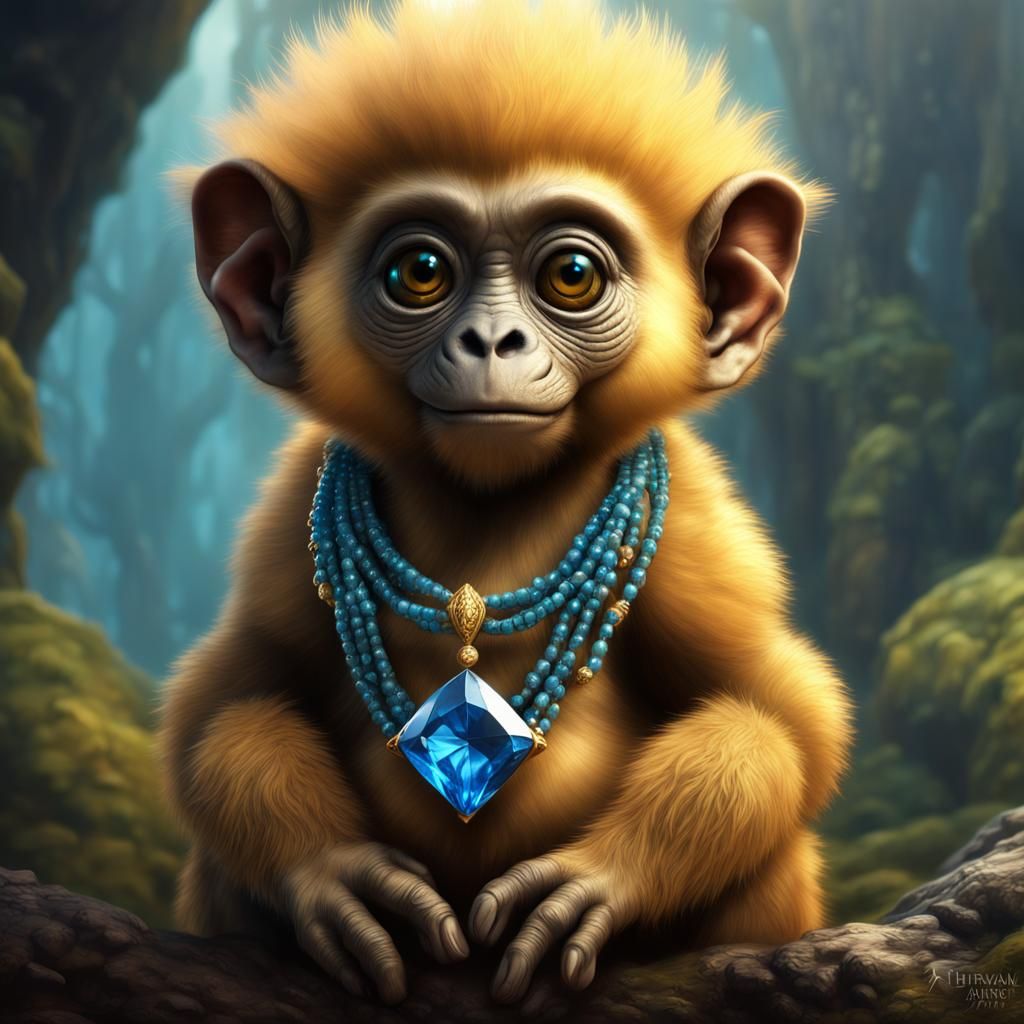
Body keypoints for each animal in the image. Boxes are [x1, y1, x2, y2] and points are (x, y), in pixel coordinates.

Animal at [158, 0, 853, 1007]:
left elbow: (779, 712)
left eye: (572, 274)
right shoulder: (286, 521)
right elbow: (227, 698)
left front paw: (599, 879)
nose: (494, 340)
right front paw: (335, 878)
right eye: (418, 270)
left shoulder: (699, 529)